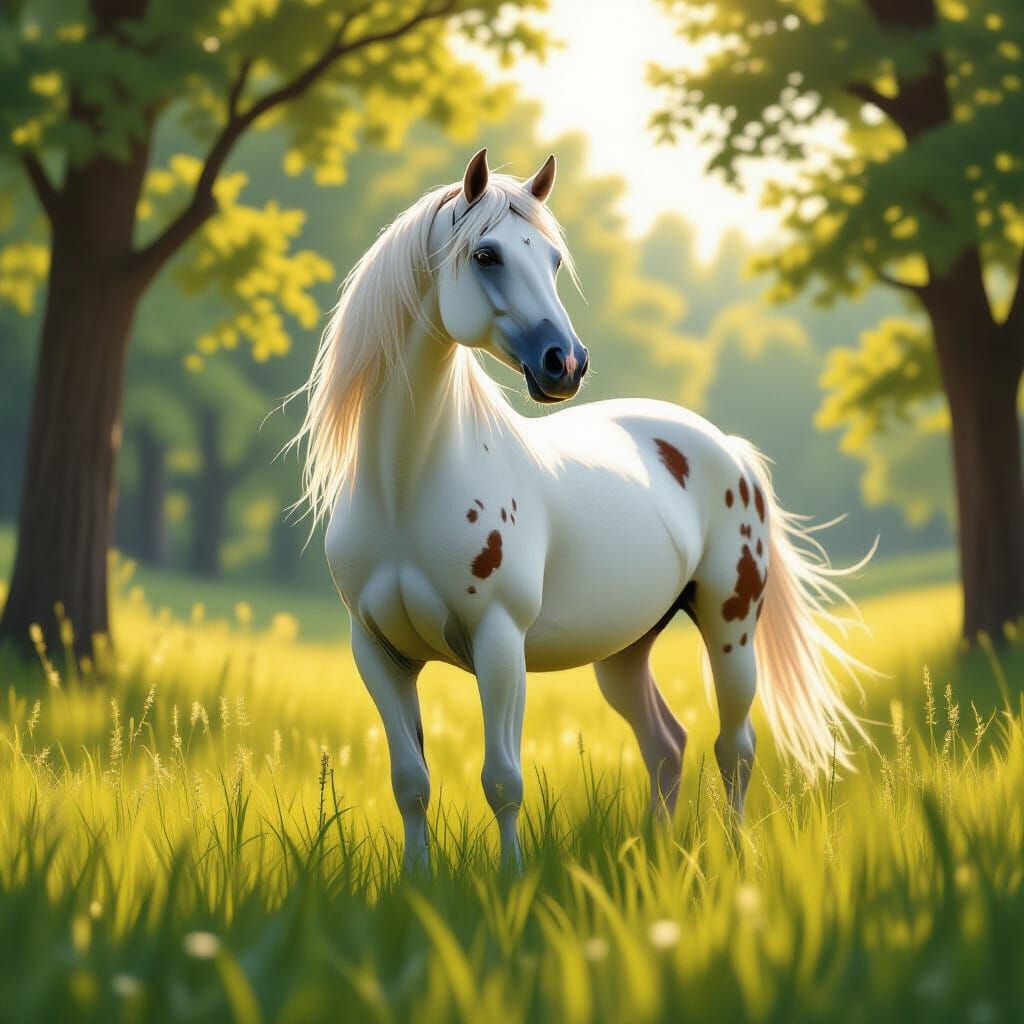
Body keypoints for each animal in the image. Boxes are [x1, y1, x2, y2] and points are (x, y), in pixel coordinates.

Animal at [294, 148, 868, 871]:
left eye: (554, 260)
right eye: (485, 255)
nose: (565, 363)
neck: (406, 485)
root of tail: (725, 447)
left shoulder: (499, 641)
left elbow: (502, 780)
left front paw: (510, 882)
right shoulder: (377, 651)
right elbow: (411, 784)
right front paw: (416, 883)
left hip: (731, 626)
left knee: (734, 750)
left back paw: (736, 858)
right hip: (624, 650)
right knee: (666, 745)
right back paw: (656, 856)